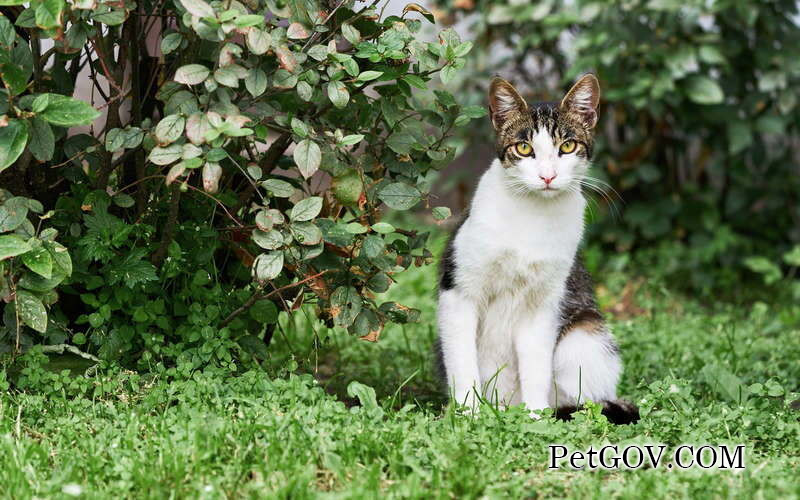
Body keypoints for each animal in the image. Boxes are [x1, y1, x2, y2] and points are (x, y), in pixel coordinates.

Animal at [434, 75, 640, 426]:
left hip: (585, 336)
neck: (532, 216)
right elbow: (462, 362)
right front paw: (468, 414)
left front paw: (536, 419)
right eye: (524, 148)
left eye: (567, 146)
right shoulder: (458, 292)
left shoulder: (544, 303)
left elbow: (536, 364)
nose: (547, 176)